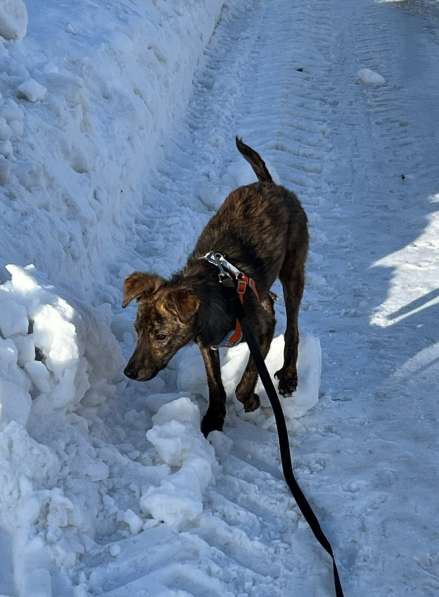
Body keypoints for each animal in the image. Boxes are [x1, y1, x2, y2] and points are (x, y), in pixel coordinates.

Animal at [124, 137, 310, 436]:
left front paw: (250, 399)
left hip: (293, 269)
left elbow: (247, 378)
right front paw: (213, 418)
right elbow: (215, 384)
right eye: (136, 330)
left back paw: (289, 377)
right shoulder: (207, 344)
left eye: (161, 336)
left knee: (293, 327)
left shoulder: (264, 327)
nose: (128, 372)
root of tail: (270, 185)